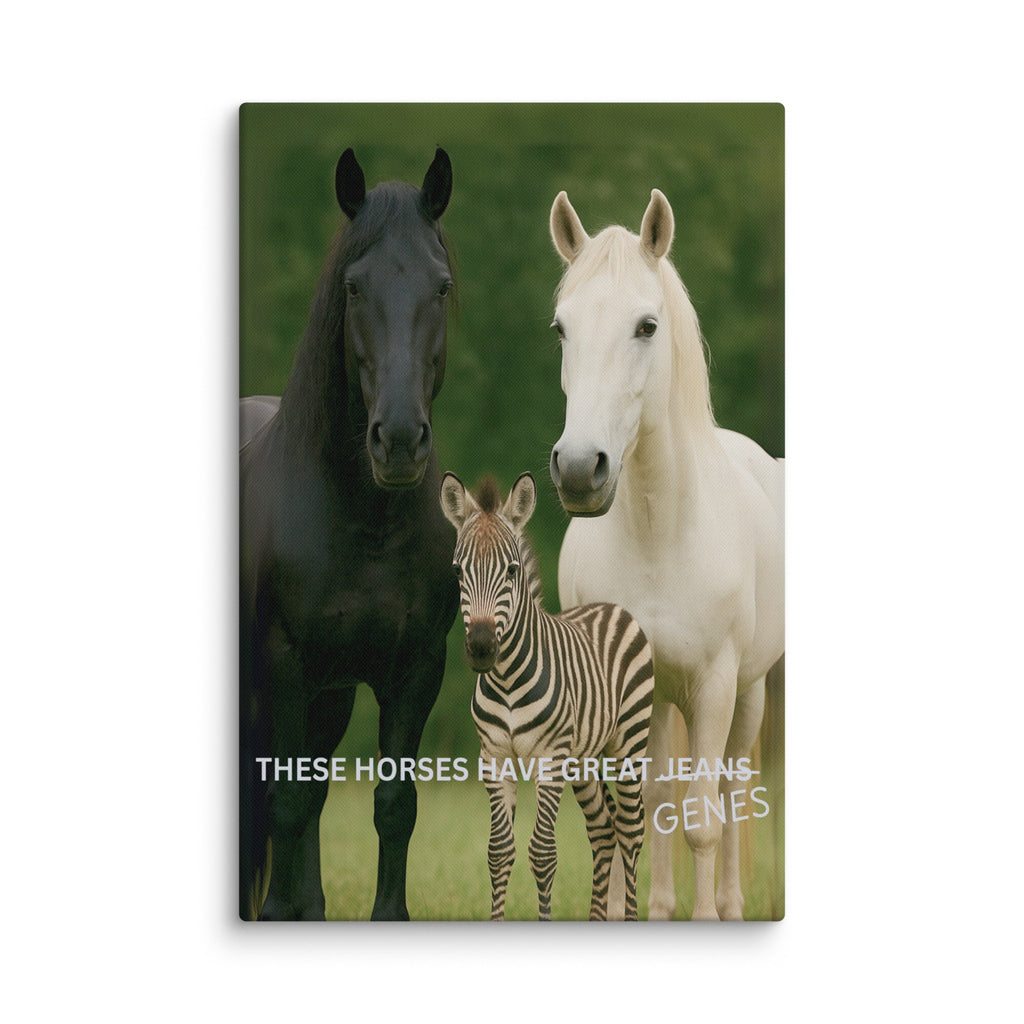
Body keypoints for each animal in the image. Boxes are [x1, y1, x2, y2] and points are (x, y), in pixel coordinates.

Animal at [239, 148, 460, 920]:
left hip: (328, 698)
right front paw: (279, 913)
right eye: (354, 287)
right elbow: (286, 802)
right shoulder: (283, 664)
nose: (396, 440)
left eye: (440, 285)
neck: (367, 522)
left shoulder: (415, 669)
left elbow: (393, 805)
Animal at [547, 188, 784, 920]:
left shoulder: (714, 684)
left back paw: (731, 905)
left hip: (747, 694)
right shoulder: (634, 691)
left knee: (732, 786)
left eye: (646, 326)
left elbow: (704, 818)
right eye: (561, 329)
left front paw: (706, 914)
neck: (661, 534)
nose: (578, 469)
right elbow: (647, 807)